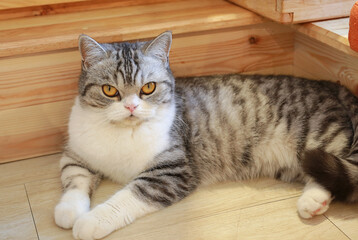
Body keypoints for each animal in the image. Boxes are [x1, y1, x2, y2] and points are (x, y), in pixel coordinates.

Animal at [54, 31, 358, 239]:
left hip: (317, 139)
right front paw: (68, 211)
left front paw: (91, 221)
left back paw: (313, 200)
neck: (123, 133)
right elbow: (75, 179)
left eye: (148, 88)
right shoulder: (76, 153)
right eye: (109, 90)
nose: (131, 107)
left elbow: (128, 196)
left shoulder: (171, 172)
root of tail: (332, 86)